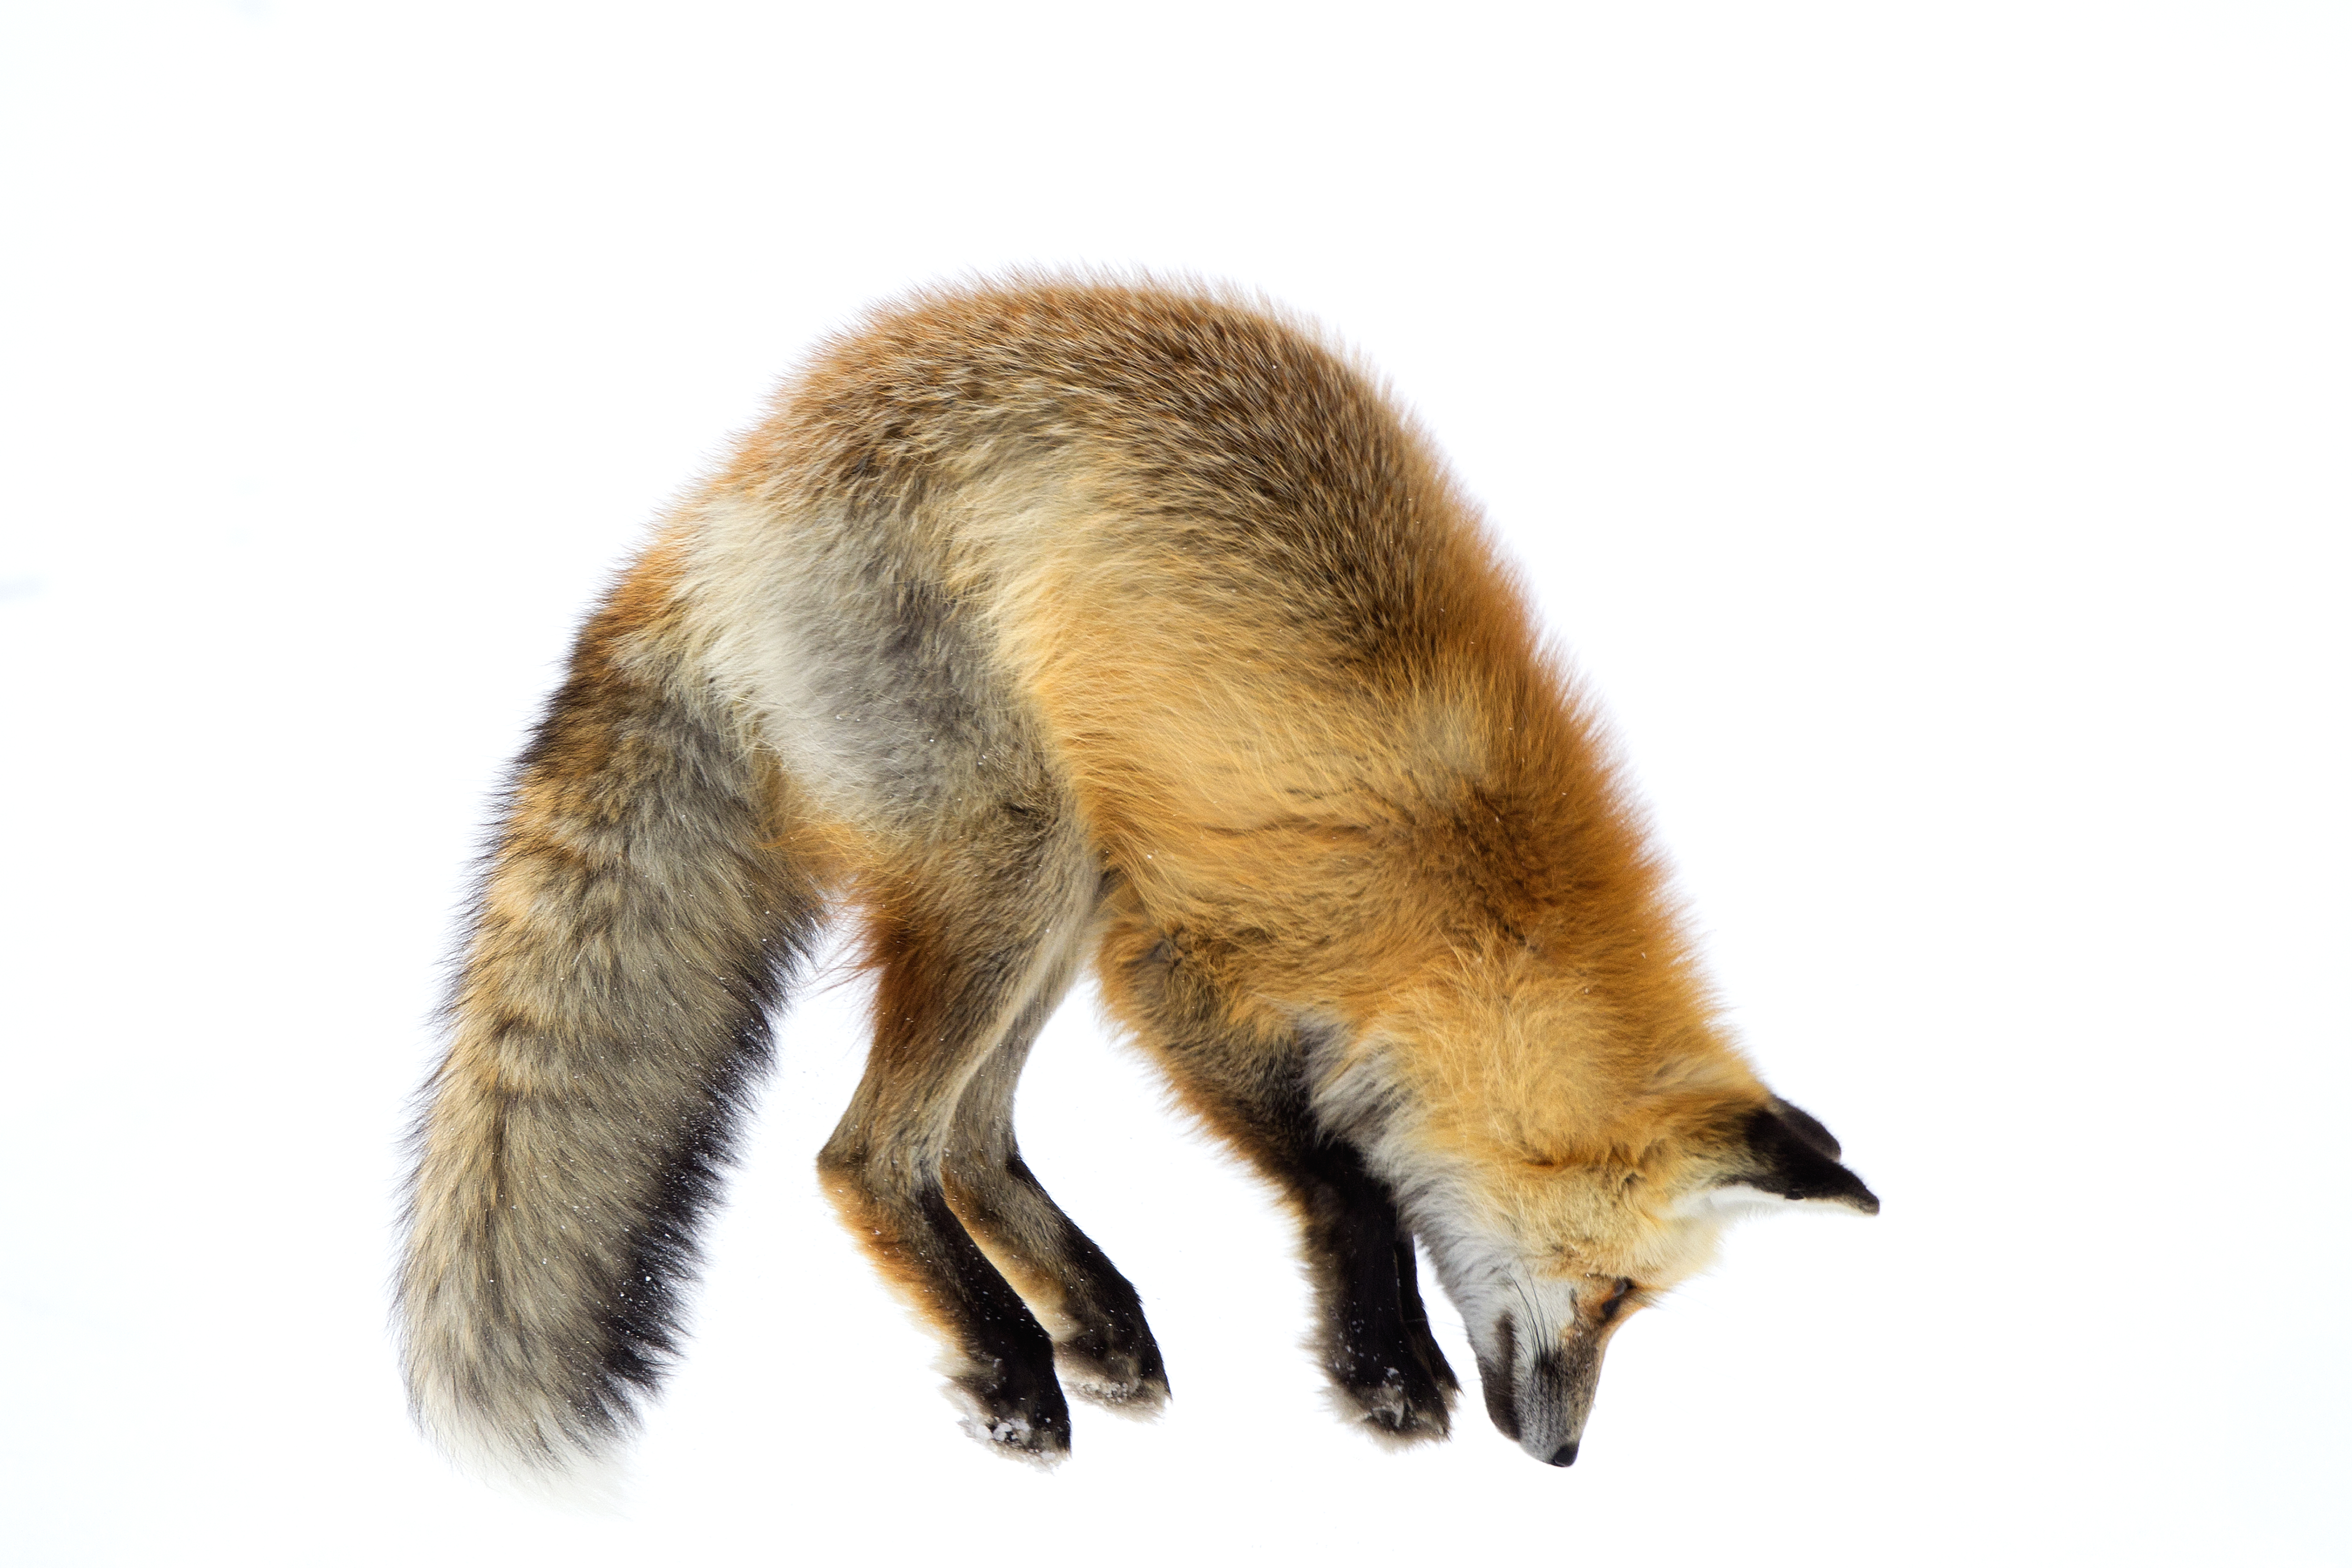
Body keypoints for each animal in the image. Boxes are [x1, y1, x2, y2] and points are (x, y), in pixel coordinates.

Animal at [398, 274, 1878, 1489]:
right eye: (1616, 1290)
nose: (1565, 1458)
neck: (1475, 893)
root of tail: (731, 488)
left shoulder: (1176, 939)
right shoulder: (1185, 959)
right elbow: (1346, 1176)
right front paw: (1386, 1370)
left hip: (1067, 884)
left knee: (969, 1140)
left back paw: (1094, 1322)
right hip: (1022, 865)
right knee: (872, 1151)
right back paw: (1010, 1367)